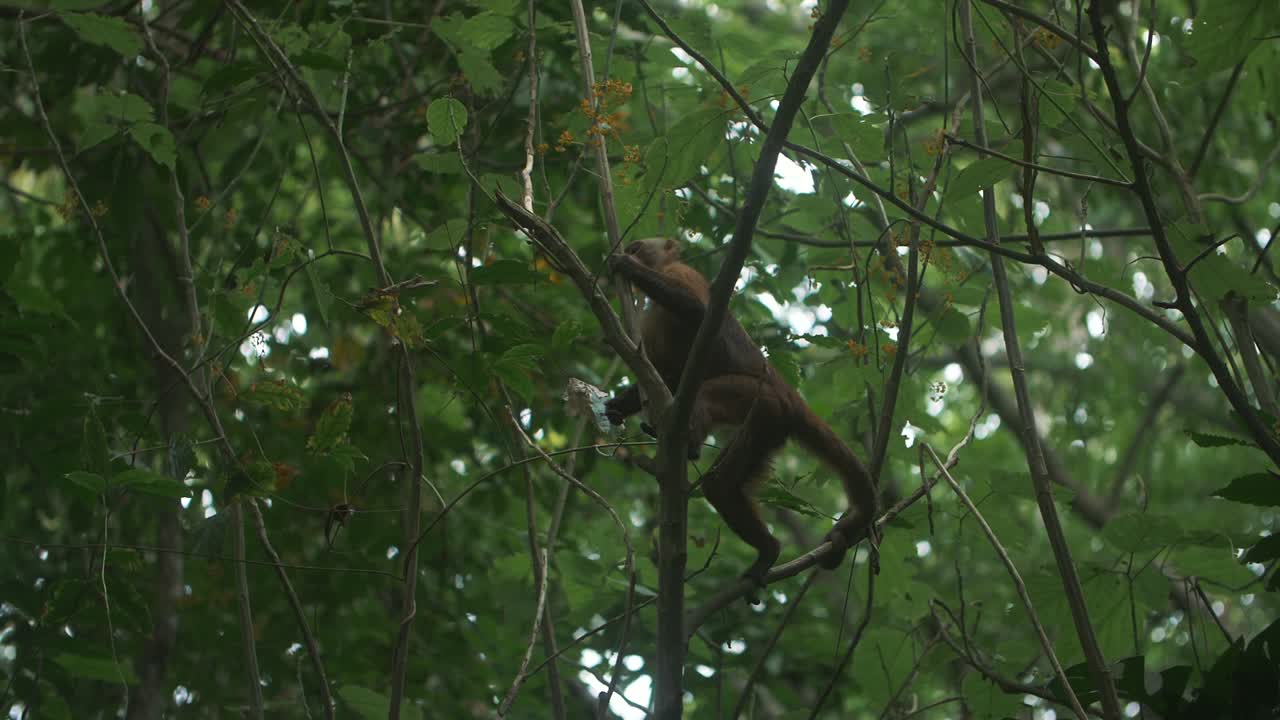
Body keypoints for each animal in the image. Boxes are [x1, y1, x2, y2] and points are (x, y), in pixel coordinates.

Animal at [604, 238, 877, 590]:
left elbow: (697, 312)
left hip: (765, 403)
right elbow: (667, 378)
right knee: (721, 483)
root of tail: (788, 392)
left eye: (637, 248)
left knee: (708, 407)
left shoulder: (682, 273)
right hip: (767, 427)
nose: (631, 251)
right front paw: (616, 407)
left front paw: (627, 266)